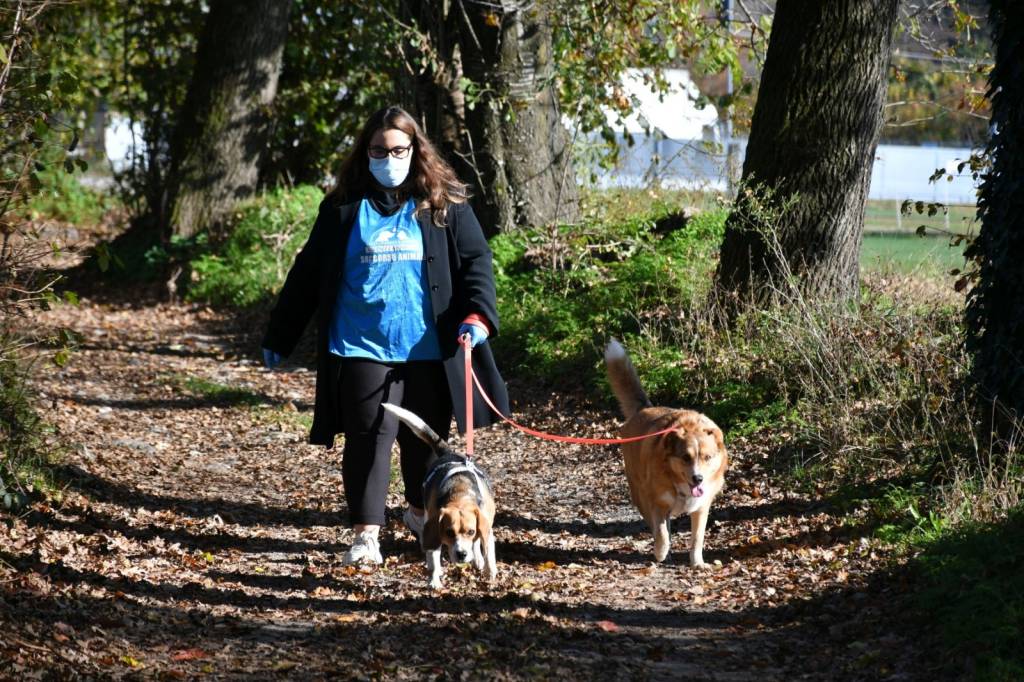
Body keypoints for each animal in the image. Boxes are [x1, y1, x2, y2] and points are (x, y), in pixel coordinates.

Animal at [606, 337, 729, 565]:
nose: (698, 478)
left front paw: (697, 563)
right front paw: (661, 552)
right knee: (657, 526)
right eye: (686, 457)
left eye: (707, 457)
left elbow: (697, 538)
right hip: (639, 494)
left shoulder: (702, 507)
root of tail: (643, 409)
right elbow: (661, 533)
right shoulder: (657, 503)